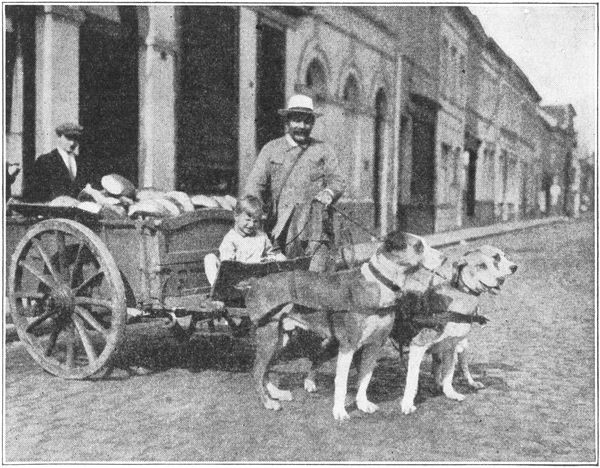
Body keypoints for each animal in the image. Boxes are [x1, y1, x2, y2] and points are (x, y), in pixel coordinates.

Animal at [240, 230, 446, 420]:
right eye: (418, 246)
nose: (444, 258)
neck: (380, 283)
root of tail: (255, 282)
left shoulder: (374, 346)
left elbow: (365, 379)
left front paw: (362, 403)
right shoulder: (348, 346)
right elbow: (342, 382)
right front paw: (339, 411)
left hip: (280, 339)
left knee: (266, 369)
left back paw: (275, 393)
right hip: (268, 336)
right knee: (257, 370)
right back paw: (268, 402)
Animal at [396, 245, 516, 414]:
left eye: (497, 260)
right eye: (482, 265)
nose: (502, 279)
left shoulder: (450, 346)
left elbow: (448, 373)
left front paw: (450, 393)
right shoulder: (418, 346)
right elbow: (412, 380)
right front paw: (407, 403)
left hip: (463, 346)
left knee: (462, 366)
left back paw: (469, 382)